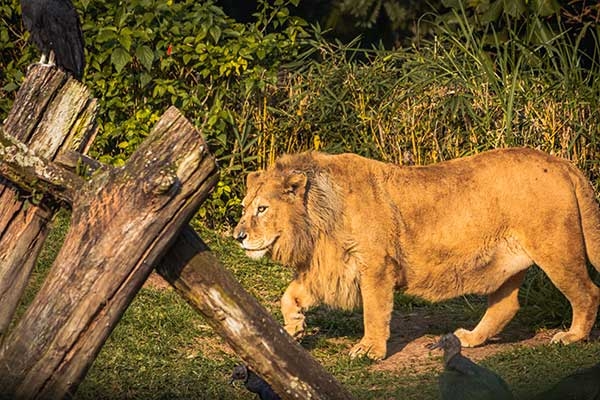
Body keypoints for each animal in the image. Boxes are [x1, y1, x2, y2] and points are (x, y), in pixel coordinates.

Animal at [233, 147, 600, 360]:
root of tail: (563, 163)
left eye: (262, 209)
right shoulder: (329, 267)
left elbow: (374, 312)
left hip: (555, 250)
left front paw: (369, 350)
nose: (237, 236)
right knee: (506, 306)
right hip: (507, 262)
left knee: (588, 292)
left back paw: (571, 337)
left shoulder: (375, 266)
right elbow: (289, 295)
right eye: (244, 208)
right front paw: (294, 329)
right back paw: (471, 339)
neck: (317, 220)